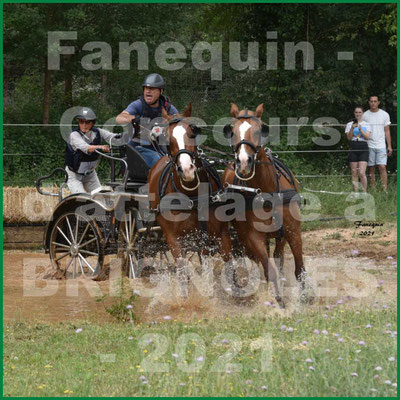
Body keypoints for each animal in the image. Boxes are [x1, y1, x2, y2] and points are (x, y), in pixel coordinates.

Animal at [148, 103, 231, 296]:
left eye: (193, 133)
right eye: (167, 138)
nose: (186, 169)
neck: (192, 196)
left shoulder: (217, 234)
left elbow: (225, 264)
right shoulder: (173, 239)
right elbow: (183, 273)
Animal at [222, 103, 306, 306]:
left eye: (259, 130)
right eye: (232, 131)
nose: (243, 162)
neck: (266, 191)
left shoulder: (292, 229)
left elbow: (299, 267)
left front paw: (306, 297)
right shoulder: (253, 236)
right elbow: (269, 271)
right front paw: (278, 301)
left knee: (279, 256)